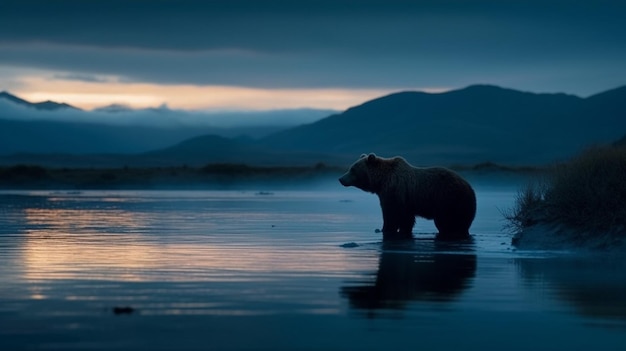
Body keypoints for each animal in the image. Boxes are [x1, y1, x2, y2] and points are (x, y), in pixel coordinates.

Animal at [338, 154, 476, 242]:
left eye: (352, 169)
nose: (341, 179)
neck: (381, 181)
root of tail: (470, 187)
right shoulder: (406, 201)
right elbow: (407, 219)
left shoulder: (395, 192)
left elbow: (392, 215)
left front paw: (385, 229)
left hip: (450, 200)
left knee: (449, 222)